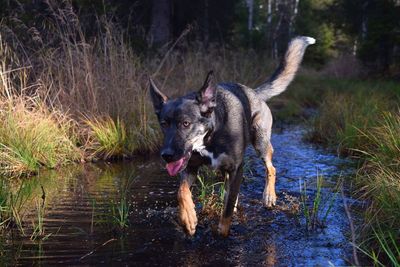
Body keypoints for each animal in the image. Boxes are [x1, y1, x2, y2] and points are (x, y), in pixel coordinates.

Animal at [149, 36, 316, 237]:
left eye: (186, 123)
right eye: (164, 124)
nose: (166, 156)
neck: (211, 137)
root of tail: (254, 92)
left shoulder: (237, 168)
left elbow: (226, 212)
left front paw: (221, 231)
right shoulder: (190, 167)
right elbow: (181, 192)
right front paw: (188, 218)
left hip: (260, 142)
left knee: (271, 168)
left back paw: (269, 196)